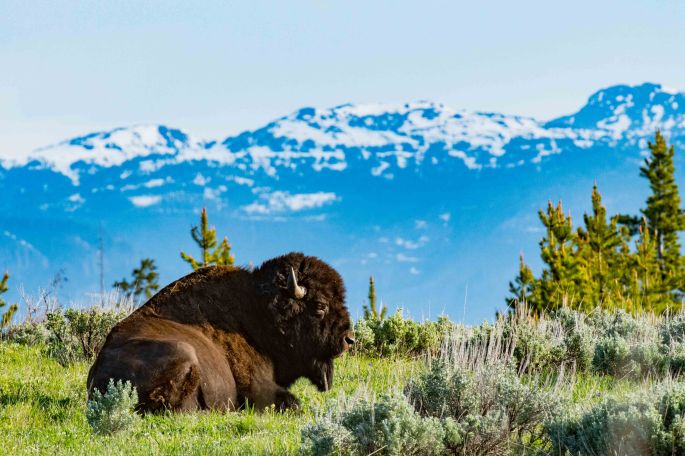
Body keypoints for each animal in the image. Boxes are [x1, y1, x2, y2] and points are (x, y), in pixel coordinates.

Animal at [87, 252, 355, 412]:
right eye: (320, 305)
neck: (259, 311)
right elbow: (292, 402)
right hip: (184, 351)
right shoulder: (257, 387)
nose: (349, 339)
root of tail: (98, 377)